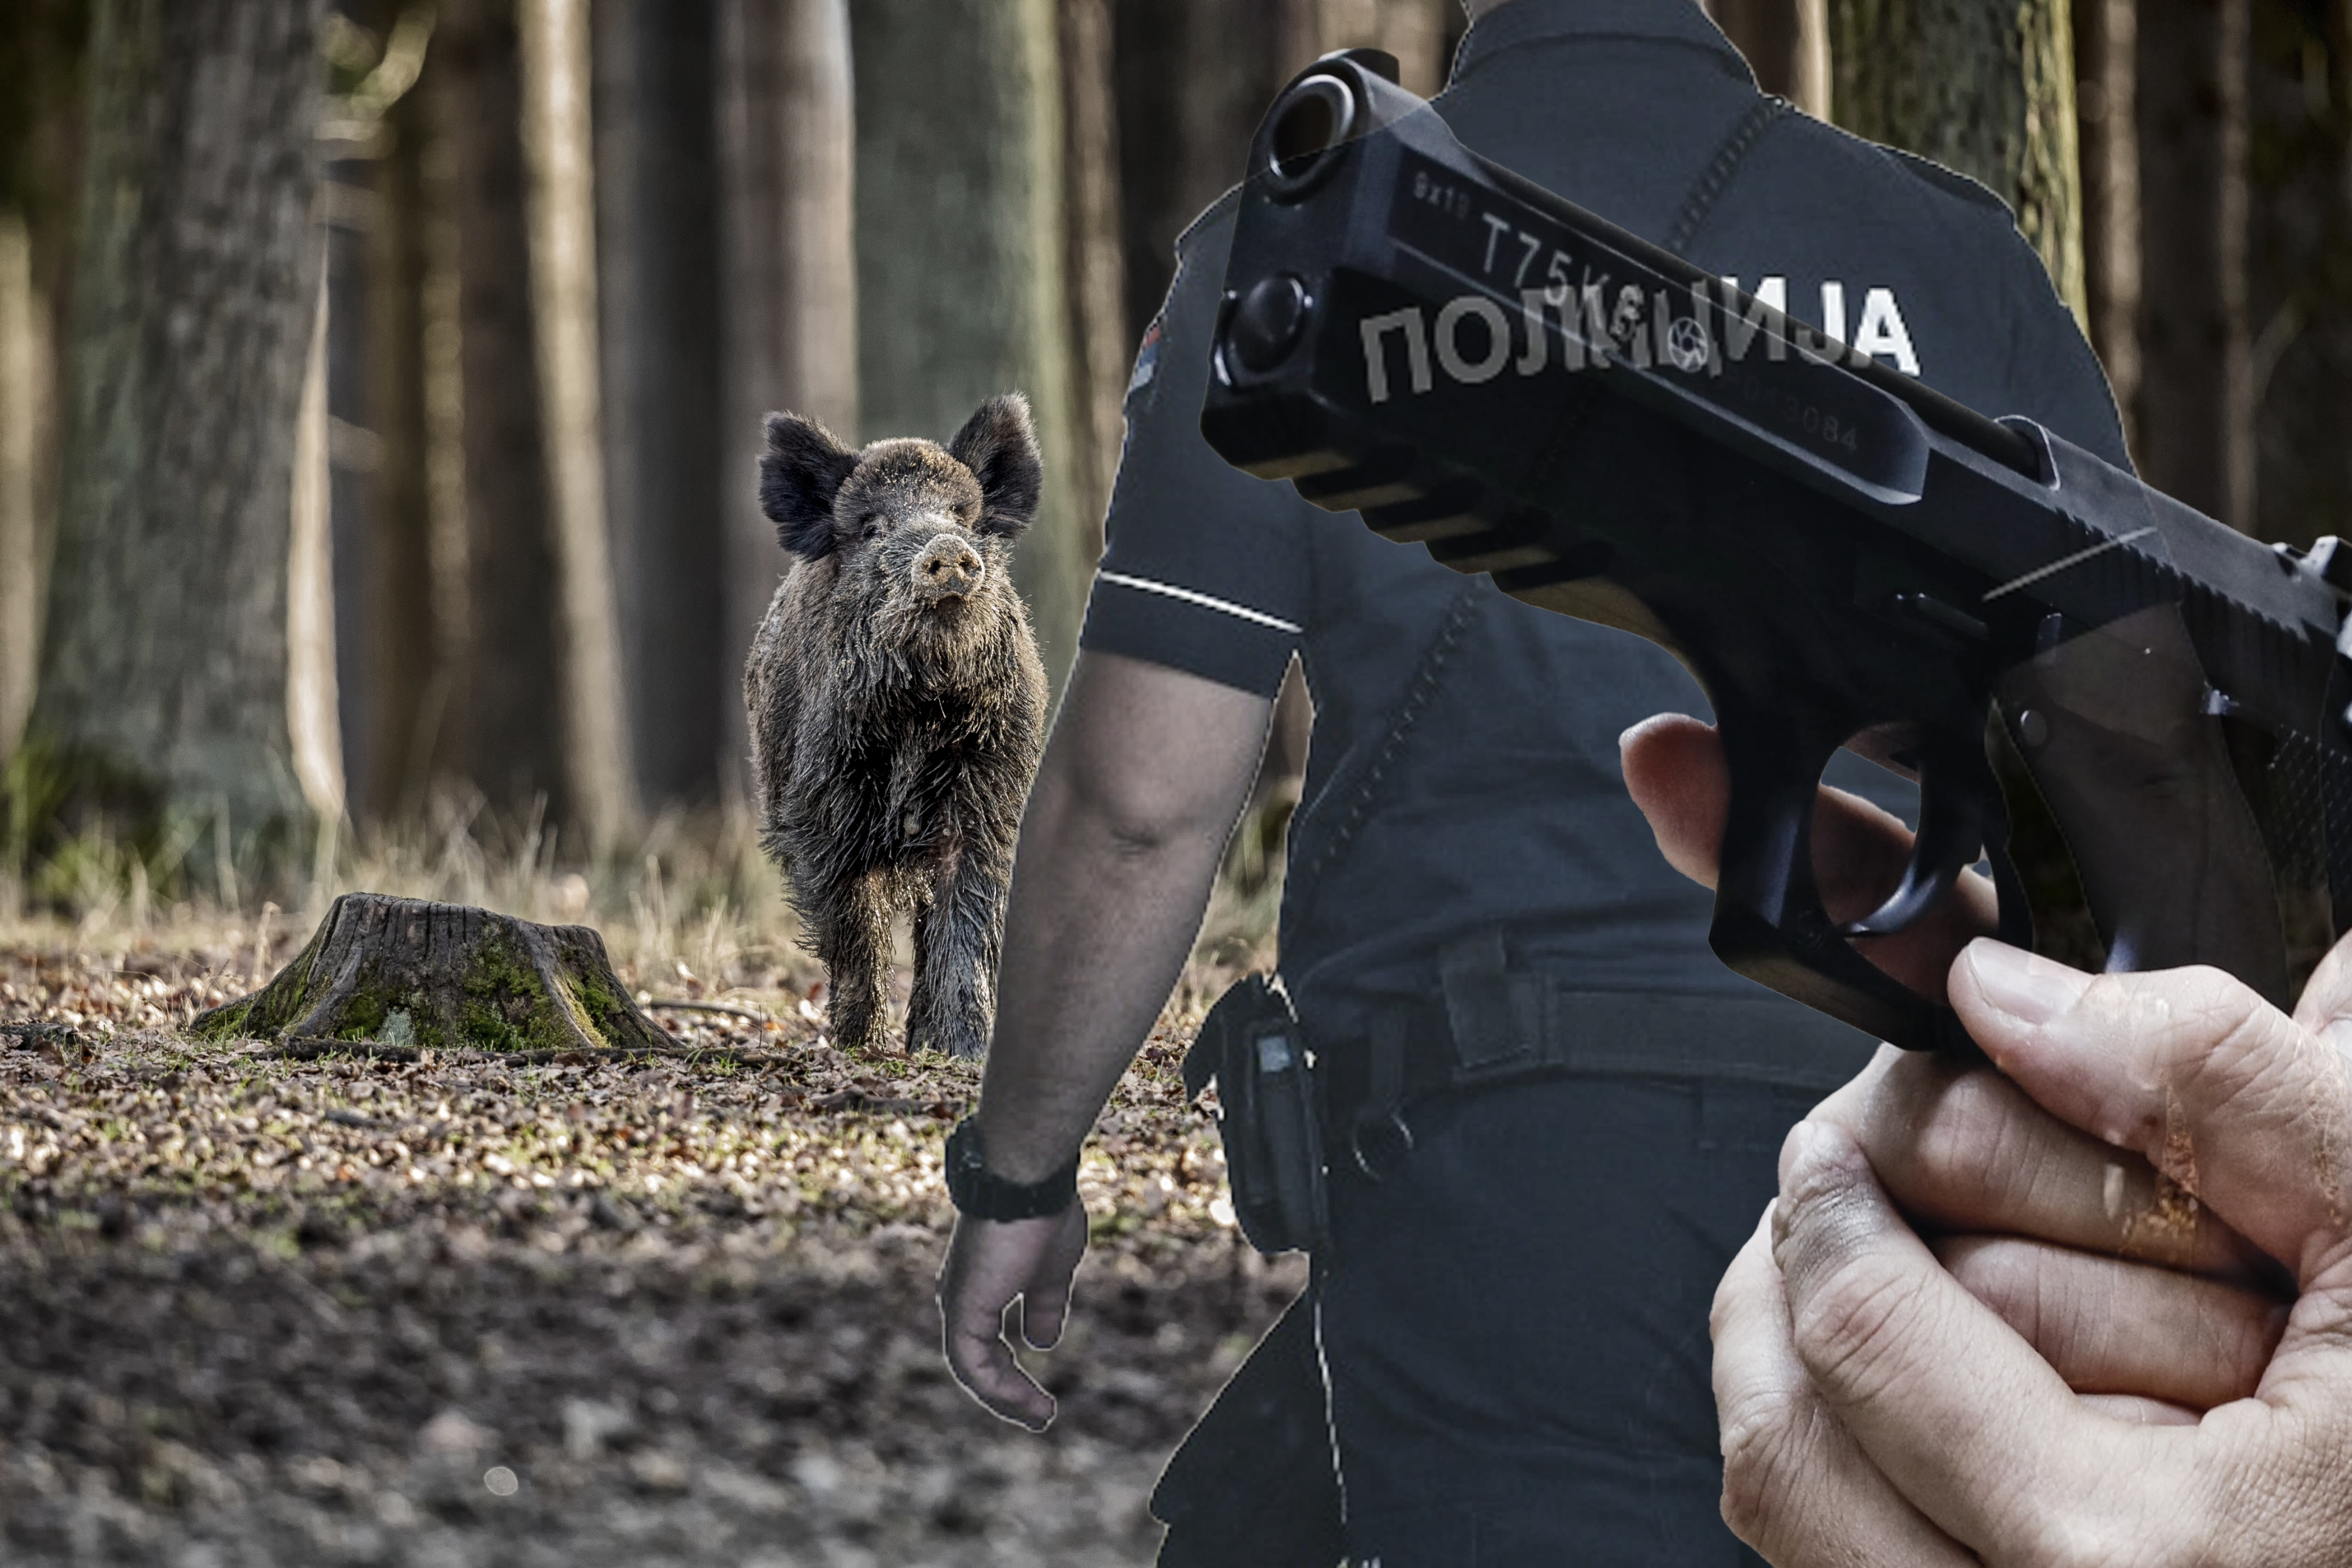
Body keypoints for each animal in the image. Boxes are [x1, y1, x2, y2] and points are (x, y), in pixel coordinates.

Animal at [744, 394, 1050, 1059]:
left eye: (963, 515)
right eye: (871, 529)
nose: (948, 550)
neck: (922, 711)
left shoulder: (989, 793)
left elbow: (965, 915)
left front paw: (960, 1051)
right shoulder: (825, 808)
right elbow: (855, 925)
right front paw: (859, 1045)